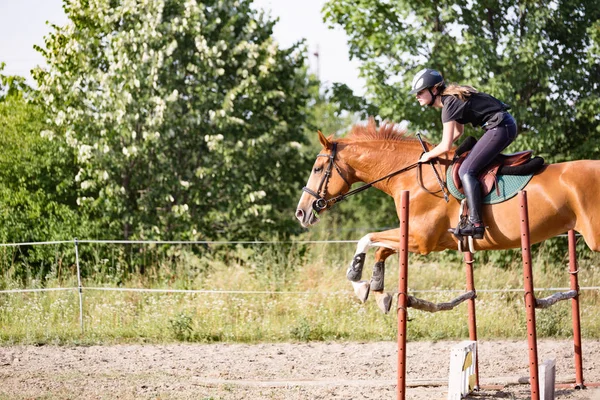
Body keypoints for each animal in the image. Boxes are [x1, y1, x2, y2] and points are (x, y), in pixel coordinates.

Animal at [294, 119, 600, 312]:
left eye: (318, 169)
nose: (301, 211)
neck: (410, 173)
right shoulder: (424, 239)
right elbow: (382, 249)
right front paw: (378, 291)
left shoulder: (421, 240)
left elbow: (368, 238)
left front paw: (358, 279)